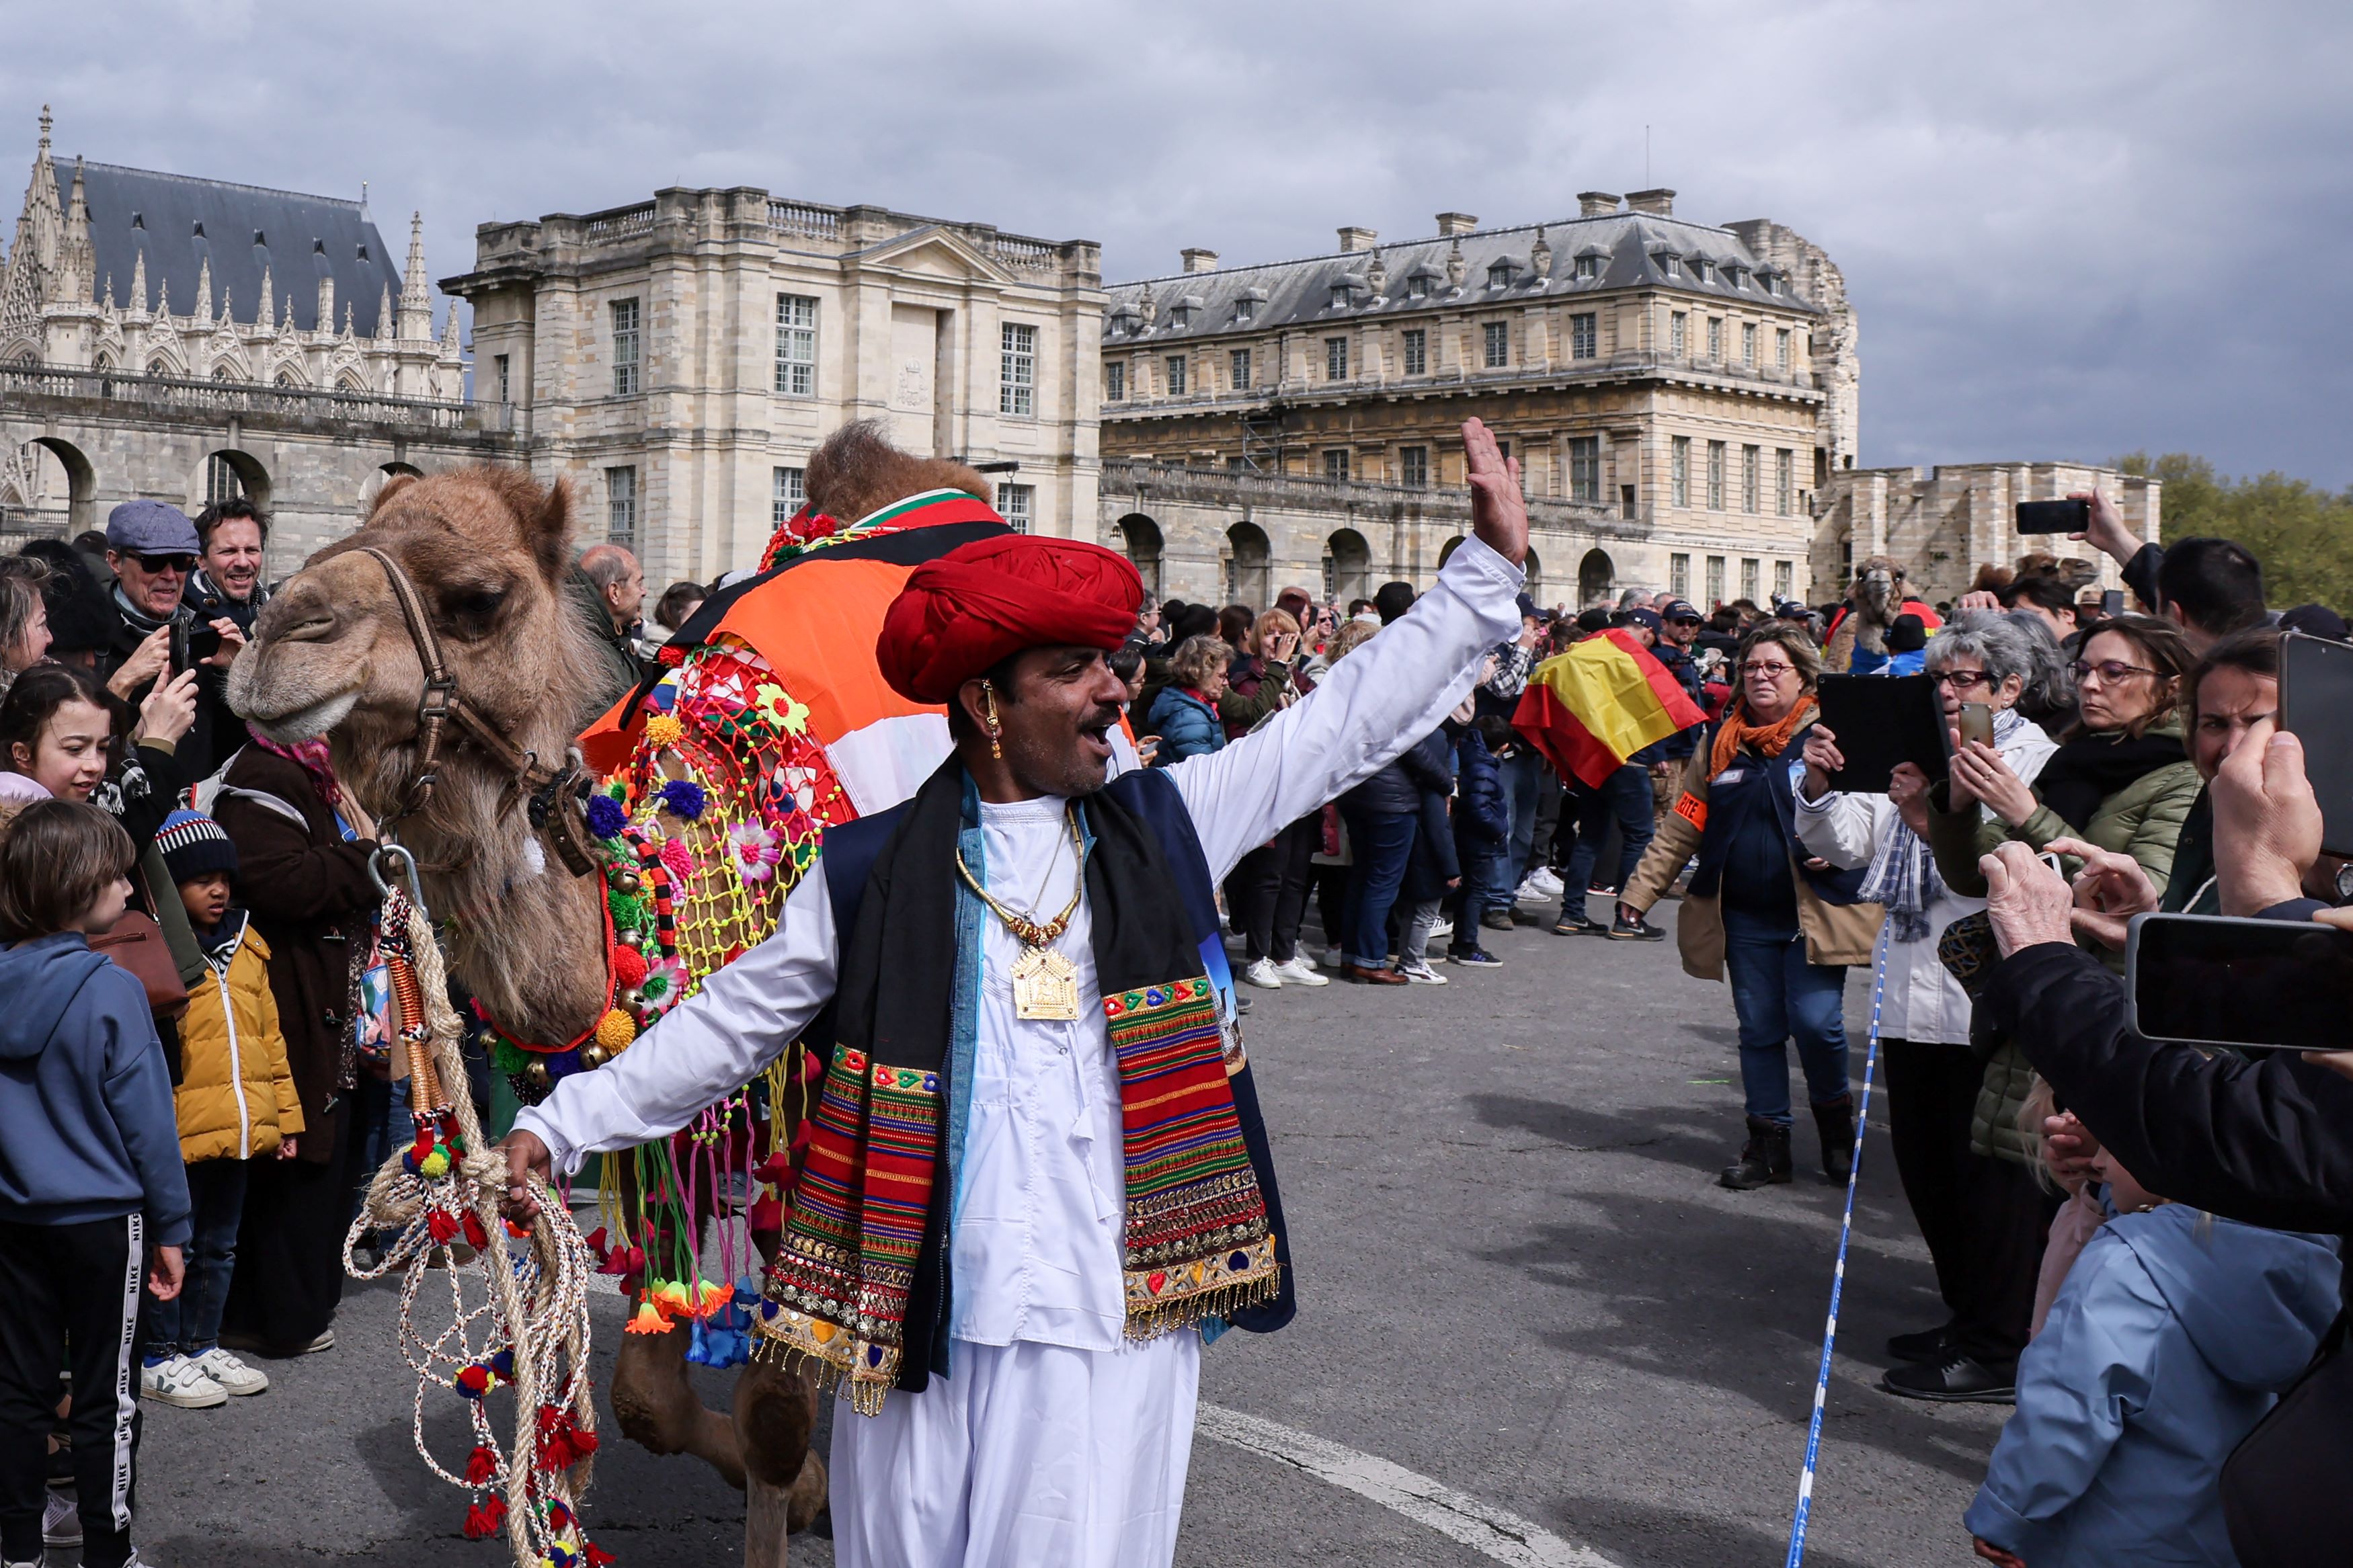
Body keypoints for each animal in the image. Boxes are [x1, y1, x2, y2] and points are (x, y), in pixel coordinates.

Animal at [225, 423, 988, 1561]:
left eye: (480, 597)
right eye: (330, 544)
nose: (274, 640)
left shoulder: (798, 1104)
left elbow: (772, 1404)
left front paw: (802, 1486)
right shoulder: (657, 1107)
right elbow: (642, 1396)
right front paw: (806, 1486)